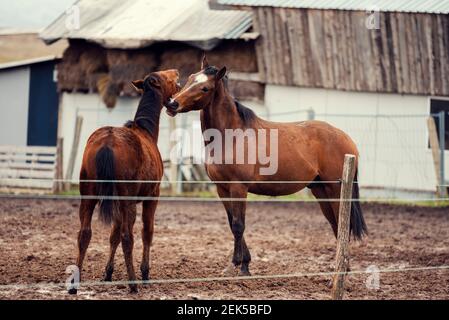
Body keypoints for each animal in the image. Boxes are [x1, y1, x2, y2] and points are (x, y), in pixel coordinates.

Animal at [68, 69, 178, 294]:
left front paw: (108, 273)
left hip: (89, 195)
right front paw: (145, 273)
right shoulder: (151, 197)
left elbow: (113, 235)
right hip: (127, 199)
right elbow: (146, 232)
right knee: (129, 237)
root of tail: (107, 143)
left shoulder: (117, 202)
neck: (146, 131)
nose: (177, 73)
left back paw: (75, 284)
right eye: (167, 78)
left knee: (84, 234)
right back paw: (134, 283)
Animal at [166, 56, 366, 276]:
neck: (231, 136)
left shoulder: (239, 187)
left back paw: (342, 269)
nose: (172, 103)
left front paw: (238, 266)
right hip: (320, 190)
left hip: (335, 189)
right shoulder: (222, 188)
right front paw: (242, 265)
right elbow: (231, 223)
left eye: (205, 88)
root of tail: (347, 139)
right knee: (335, 223)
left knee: (342, 224)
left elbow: (239, 225)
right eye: (190, 79)